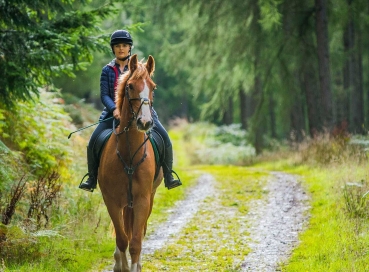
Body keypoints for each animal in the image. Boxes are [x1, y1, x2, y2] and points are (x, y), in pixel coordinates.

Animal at [98, 53, 162, 272]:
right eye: (131, 86)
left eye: (153, 87)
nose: (145, 122)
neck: (129, 155)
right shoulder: (111, 200)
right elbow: (122, 238)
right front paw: (121, 265)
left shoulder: (142, 199)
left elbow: (135, 242)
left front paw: (134, 265)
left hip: (149, 197)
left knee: (139, 233)